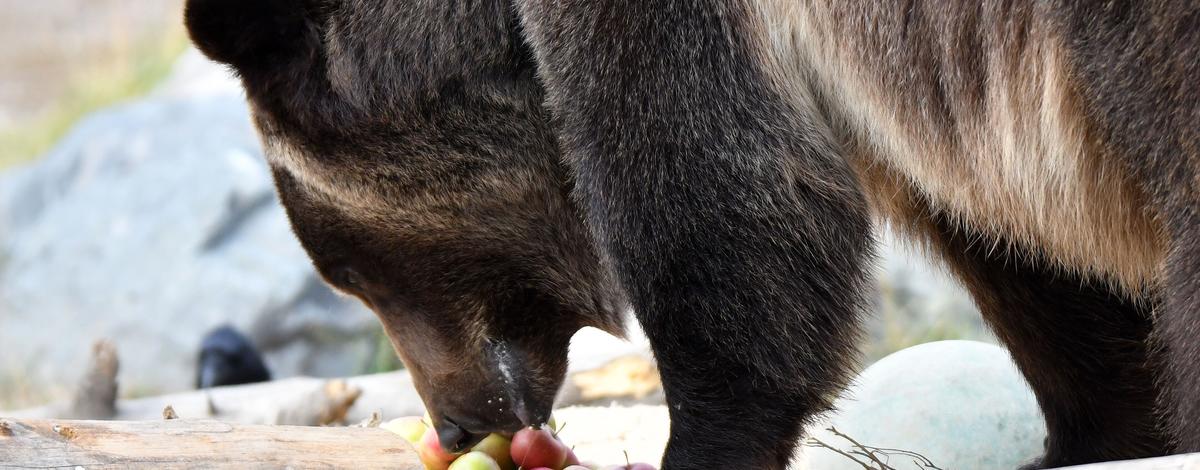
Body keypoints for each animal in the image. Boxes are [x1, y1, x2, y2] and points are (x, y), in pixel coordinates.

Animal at [182, 1, 1195, 467]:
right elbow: (1028, 255)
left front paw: (707, 438)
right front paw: (1097, 431)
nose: (457, 420)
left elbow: (715, 215)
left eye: (352, 271)